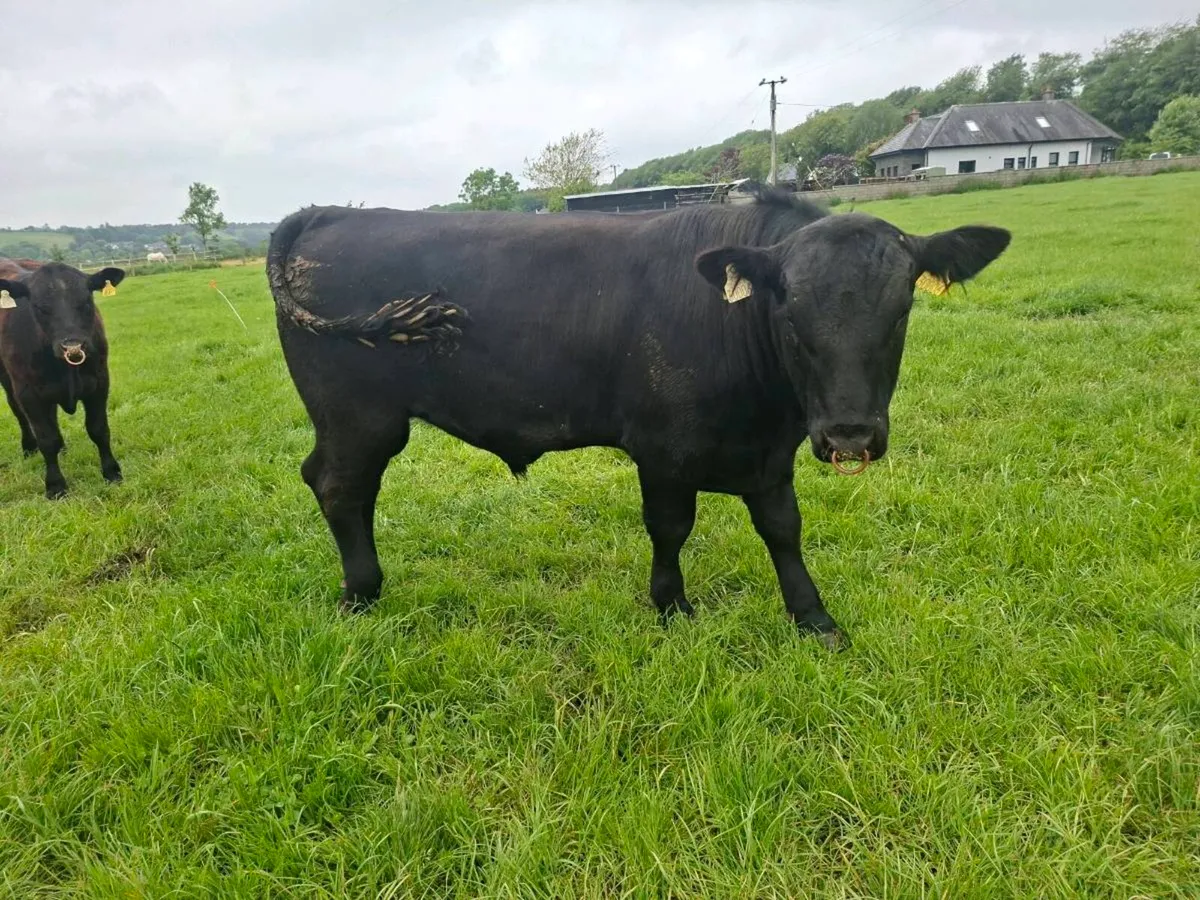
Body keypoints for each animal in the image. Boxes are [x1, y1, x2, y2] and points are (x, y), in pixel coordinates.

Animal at [0, 257, 126, 498]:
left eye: (86, 300)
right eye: (39, 307)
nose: (73, 346)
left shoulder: (100, 382)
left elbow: (99, 429)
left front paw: (112, 472)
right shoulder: (28, 392)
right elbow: (46, 439)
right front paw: (55, 485)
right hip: (8, 380)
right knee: (18, 412)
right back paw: (29, 447)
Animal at [265, 183, 1010, 649]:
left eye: (902, 309)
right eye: (789, 310)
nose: (849, 433)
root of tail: (328, 212)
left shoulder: (773, 453)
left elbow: (783, 528)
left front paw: (814, 617)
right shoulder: (663, 447)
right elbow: (671, 527)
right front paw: (673, 606)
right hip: (360, 418)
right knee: (341, 488)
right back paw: (361, 593)